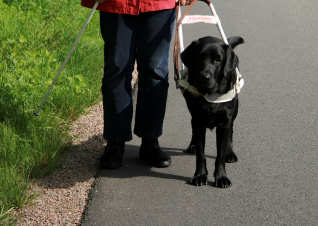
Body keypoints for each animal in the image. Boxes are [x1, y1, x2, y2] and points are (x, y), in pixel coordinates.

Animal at [180, 35, 245, 187]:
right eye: (199, 57)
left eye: (217, 60)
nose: (205, 76)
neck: (210, 94)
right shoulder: (198, 121)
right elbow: (200, 154)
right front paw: (199, 175)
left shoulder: (224, 123)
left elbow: (220, 155)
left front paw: (221, 177)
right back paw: (192, 145)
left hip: (234, 112)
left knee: (231, 132)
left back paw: (230, 153)